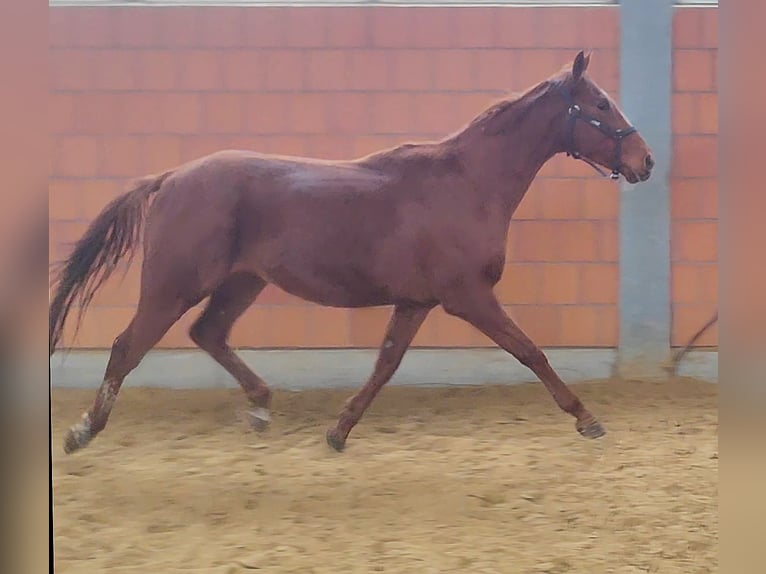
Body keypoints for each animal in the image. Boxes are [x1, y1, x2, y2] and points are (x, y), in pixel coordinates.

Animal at [50, 51, 654, 455]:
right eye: (601, 103)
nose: (645, 161)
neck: (466, 183)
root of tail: (170, 177)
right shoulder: (468, 297)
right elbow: (531, 352)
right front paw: (587, 419)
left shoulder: (416, 302)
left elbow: (386, 364)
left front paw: (338, 431)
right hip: (174, 284)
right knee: (128, 345)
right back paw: (83, 430)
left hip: (242, 281)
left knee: (208, 333)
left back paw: (261, 406)